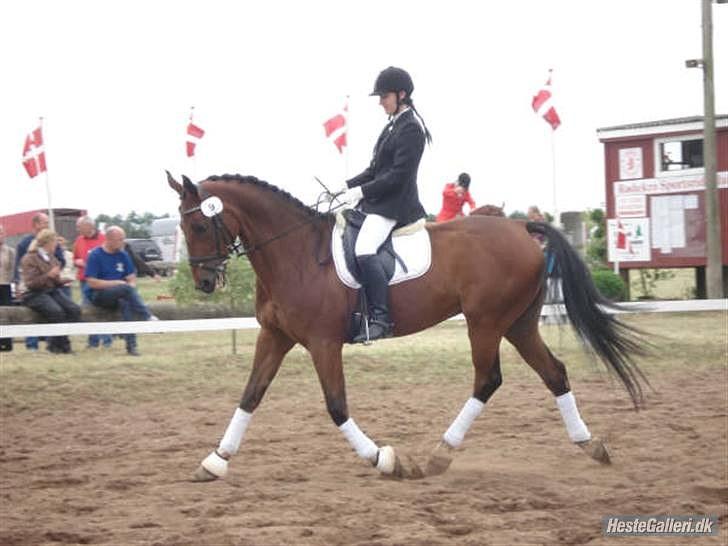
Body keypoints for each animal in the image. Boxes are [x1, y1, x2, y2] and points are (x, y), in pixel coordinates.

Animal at [168, 172, 644, 478]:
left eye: (198, 224)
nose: (204, 282)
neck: (295, 254)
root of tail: (520, 227)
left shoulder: (323, 343)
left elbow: (336, 406)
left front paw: (383, 459)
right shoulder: (275, 336)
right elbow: (250, 395)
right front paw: (215, 461)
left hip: (486, 322)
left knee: (488, 379)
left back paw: (440, 455)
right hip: (519, 324)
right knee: (554, 372)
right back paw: (591, 445)